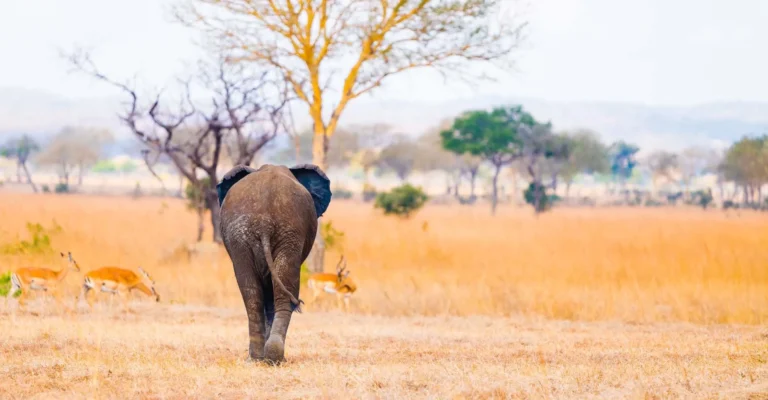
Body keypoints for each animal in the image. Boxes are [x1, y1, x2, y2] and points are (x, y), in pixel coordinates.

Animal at [216, 163, 332, 364]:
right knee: (282, 291)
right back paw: (274, 357)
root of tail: (264, 223)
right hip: (285, 235)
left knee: (252, 294)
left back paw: (257, 359)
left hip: (245, 238)